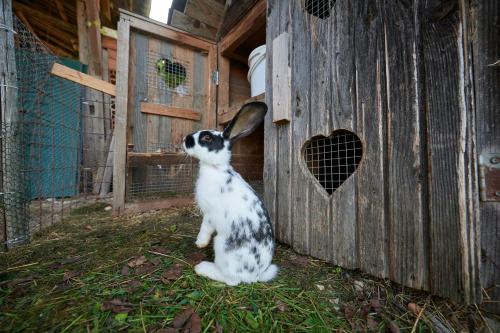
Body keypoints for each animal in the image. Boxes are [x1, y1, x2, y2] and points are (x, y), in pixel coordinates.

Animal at [183, 102, 278, 286]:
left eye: (207, 138)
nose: (185, 139)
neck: (216, 167)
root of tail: (254, 276)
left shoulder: (210, 213)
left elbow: (205, 227)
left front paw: (199, 243)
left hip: (221, 245)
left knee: (231, 280)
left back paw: (202, 268)